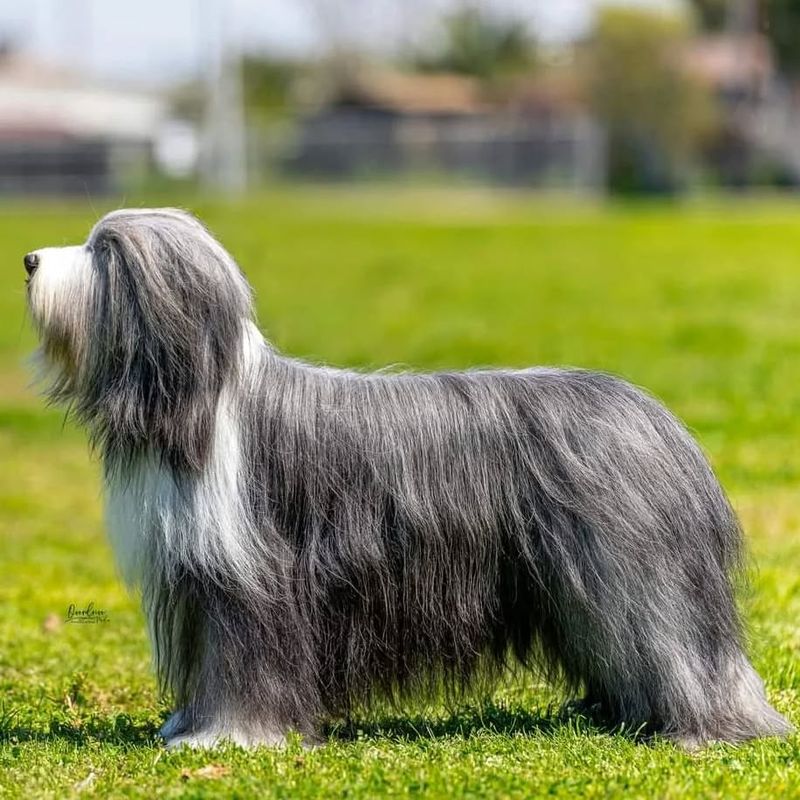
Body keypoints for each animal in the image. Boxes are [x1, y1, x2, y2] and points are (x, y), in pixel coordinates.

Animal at [23, 209, 788, 748]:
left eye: (104, 253)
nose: (28, 259)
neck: (207, 406)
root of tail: (661, 422)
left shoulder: (249, 578)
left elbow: (243, 666)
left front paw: (228, 737)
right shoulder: (203, 580)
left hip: (633, 573)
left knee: (675, 644)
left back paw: (706, 728)